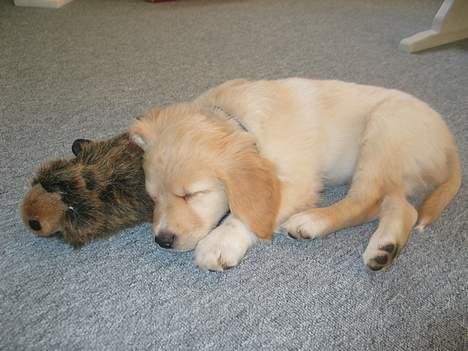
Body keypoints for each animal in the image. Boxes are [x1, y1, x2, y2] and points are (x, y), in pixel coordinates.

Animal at [129, 79, 460, 272]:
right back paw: (385, 248)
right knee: (401, 207)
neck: (237, 117)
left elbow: (253, 212)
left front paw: (221, 241)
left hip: (384, 131)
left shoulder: (297, 181)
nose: (162, 240)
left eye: (192, 194)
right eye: (153, 198)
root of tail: (449, 142)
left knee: (366, 200)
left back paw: (311, 222)